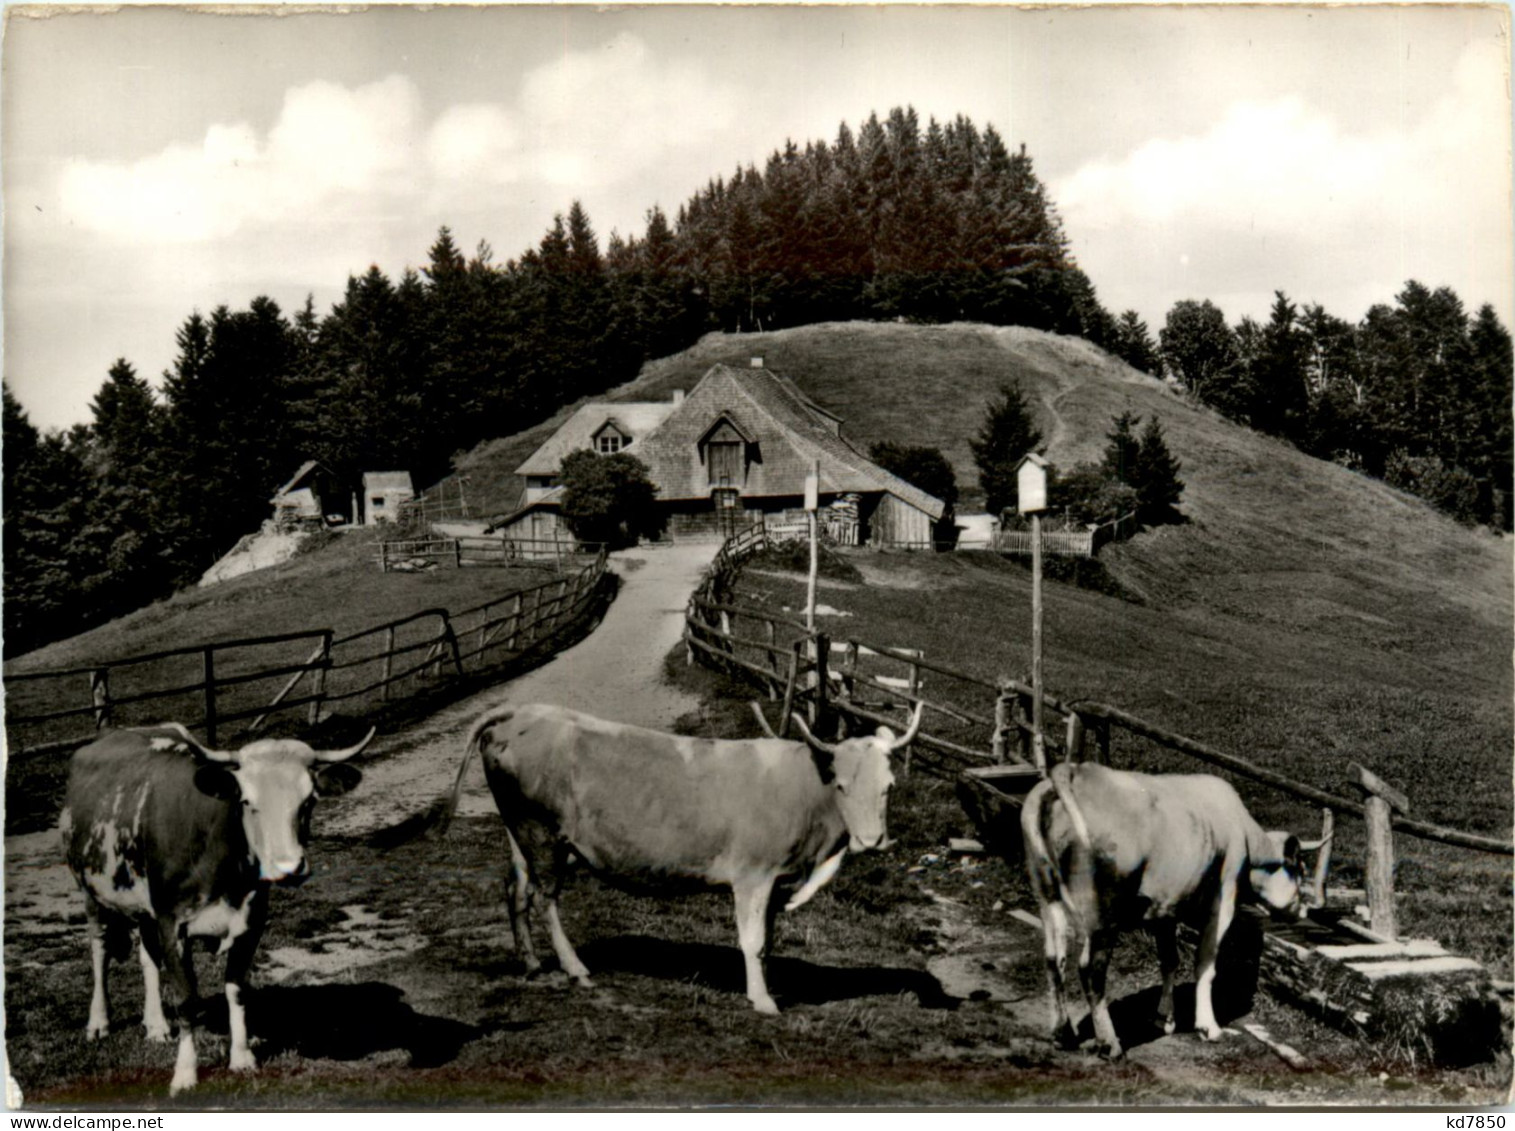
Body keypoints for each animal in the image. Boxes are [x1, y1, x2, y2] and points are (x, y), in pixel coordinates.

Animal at [62, 726, 375, 1096]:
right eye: (247, 802)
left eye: (308, 801)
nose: (289, 867)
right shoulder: (172, 923)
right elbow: (187, 1000)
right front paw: (185, 1074)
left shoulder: (251, 921)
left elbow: (236, 991)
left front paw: (241, 1057)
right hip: (90, 892)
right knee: (100, 950)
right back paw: (99, 1022)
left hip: (144, 907)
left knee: (147, 956)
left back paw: (156, 1024)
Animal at [430, 702, 921, 1011]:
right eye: (842, 785)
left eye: (889, 786)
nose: (872, 840)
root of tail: (523, 711)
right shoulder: (754, 875)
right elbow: (752, 940)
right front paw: (763, 1001)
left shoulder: (776, 879)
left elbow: (768, 939)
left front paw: (768, 985)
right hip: (543, 834)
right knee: (544, 897)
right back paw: (575, 969)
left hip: (521, 832)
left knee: (516, 887)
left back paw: (531, 964)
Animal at [1024, 760, 1308, 1059]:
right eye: (1300, 870)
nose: (1305, 909)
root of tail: (1073, 771)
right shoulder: (1223, 899)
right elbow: (1205, 964)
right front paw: (1207, 1026)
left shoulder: (1165, 907)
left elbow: (1169, 959)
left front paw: (1165, 1018)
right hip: (1103, 911)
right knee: (1091, 968)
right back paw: (1109, 1043)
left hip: (1046, 893)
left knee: (1054, 959)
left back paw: (1062, 1033)